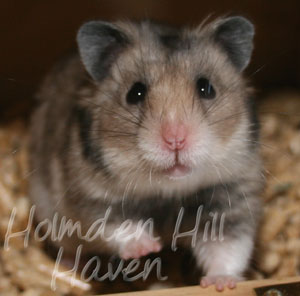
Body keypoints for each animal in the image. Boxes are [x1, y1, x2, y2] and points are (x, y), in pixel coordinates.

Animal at [28, 16, 262, 292]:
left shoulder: (232, 202)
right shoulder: (92, 197)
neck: (168, 192)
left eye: (206, 88)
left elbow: (227, 249)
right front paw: (150, 247)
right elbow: (116, 226)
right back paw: (71, 265)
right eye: (135, 92)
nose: (175, 140)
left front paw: (221, 284)